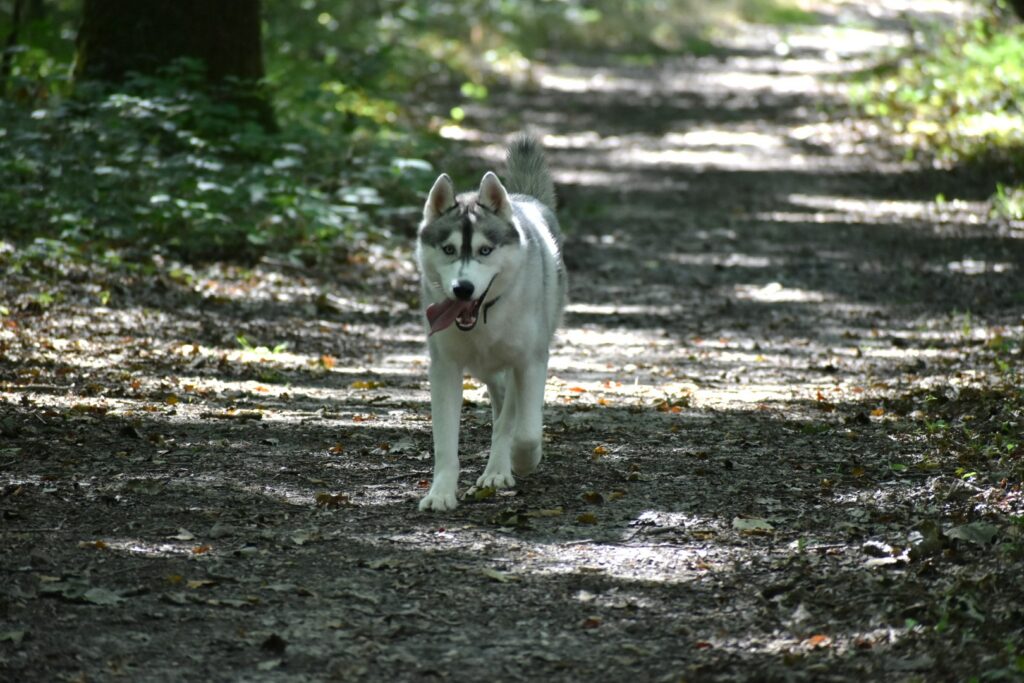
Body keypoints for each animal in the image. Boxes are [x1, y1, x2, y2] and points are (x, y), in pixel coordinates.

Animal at [413, 133, 569, 509]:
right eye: (449, 249)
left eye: (485, 250)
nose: (463, 288)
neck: (484, 320)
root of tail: (524, 198)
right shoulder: (444, 368)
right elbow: (445, 444)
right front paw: (441, 493)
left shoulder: (528, 362)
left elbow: (524, 431)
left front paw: (522, 461)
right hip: (487, 370)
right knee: (500, 403)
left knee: (509, 417)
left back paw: (500, 469)